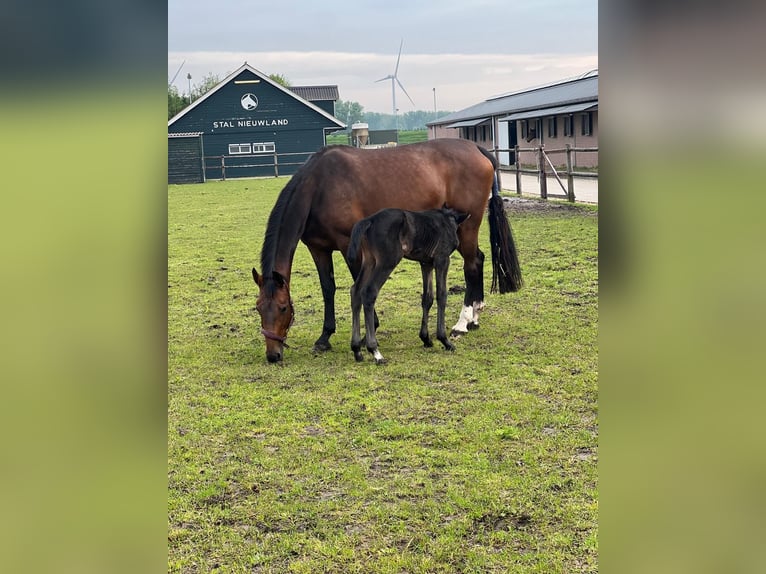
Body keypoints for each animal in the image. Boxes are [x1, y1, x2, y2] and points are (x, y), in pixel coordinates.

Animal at [346, 206, 468, 364]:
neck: (447, 220)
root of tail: (369, 220)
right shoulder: (442, 259)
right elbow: (442, 295)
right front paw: (445, 340)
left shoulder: (426, 263)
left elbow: (427, 298)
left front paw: (426, 339)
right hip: (388, 260)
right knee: (369, 292)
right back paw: (375, 351)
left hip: (369, 260)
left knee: (355, 291)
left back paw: (356, 349)